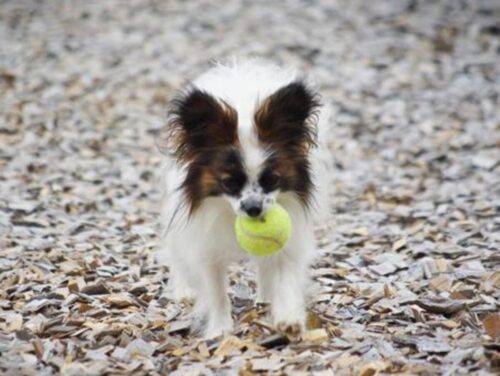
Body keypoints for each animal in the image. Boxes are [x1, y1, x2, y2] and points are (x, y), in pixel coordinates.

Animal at [156, 58, 332, 338]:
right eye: (229, 182)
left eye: (272, 179)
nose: (253, 208)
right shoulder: (206, 248)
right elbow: (216, 291)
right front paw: (220, 329)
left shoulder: (289, 243)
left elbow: (285, 277)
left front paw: (288, 317)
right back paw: (183, 290)